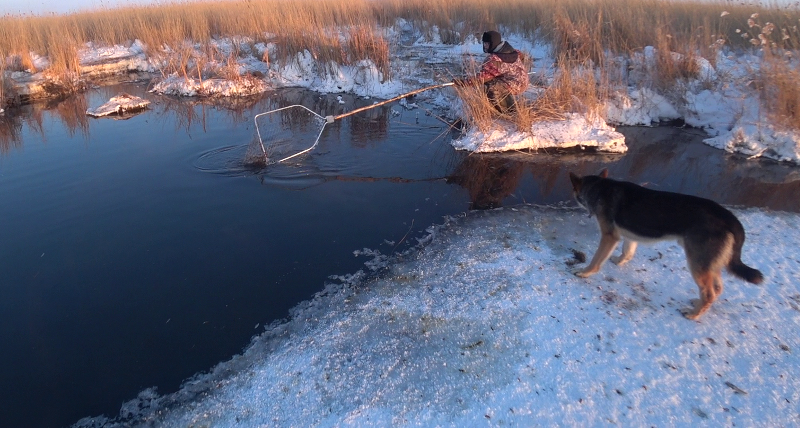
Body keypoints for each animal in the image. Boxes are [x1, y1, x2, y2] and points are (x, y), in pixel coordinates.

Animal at [568, 169, 764, 320]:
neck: (599, 187)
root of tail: (730, 218)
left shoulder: (609, 236)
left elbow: (596, 260)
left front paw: (585, 272)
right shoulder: (629, 235)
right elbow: (627, 251)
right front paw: (619, 261)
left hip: (697, 262)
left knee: (709, 292)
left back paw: (693, 314)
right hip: (708, 263)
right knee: (717, 289)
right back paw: (697, 304)